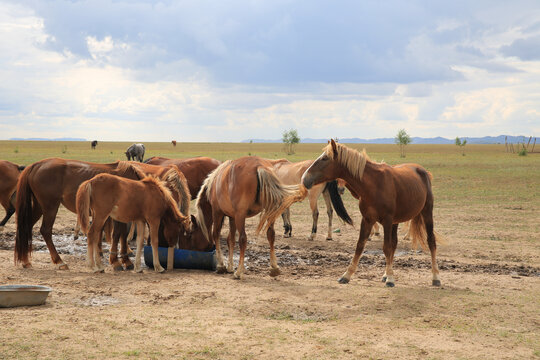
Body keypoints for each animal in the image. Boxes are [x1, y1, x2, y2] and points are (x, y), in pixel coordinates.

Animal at [15, 159, 146, 268]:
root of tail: (37, 164)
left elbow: (122, 234)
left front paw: (124, 260)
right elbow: (119, 234)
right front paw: (119, 261)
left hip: (39, 207)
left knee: (26, 227)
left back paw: (25, 261)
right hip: (50, 207)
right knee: (45, 230)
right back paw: (59, 261)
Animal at [302, 139, 440, 288]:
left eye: (325, 158)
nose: (304, 179)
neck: (374, 184)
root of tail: (423, 171)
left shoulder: (387, 220)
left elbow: (386, 247)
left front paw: (391, 279)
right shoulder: (367, 219)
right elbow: (360, 246)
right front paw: (347, 275)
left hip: (426, 213)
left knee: (431, 241)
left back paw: (435, 277)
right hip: (396, 221)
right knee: (395, 243)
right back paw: (386, 274)